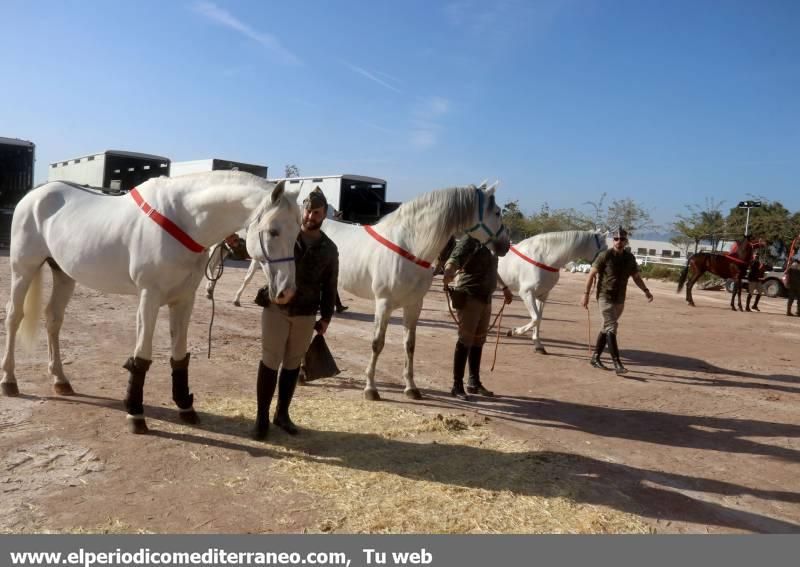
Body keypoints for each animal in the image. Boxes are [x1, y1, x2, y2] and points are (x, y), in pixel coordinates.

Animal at [2, 173, 300, 434]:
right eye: (273, 231)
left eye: (297, 233)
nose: (286, 291)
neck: (183, 220)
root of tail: (34, 195)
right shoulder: (149, 296)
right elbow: (142, 357)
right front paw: (135, 414)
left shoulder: (184, 299)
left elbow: (179, 355)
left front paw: (185, 407)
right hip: (23, 269)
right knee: (14, 317)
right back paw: (9, 381)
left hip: (63, 274)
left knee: (53, 319)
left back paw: (60, 380)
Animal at [318, 184, 506, 402]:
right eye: (497, 212)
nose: (506, 245)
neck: (410, 248)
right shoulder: (383, 303)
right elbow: (377, 344)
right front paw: (371, 388)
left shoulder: (414, 305)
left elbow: (409, 345)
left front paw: (411, 387)